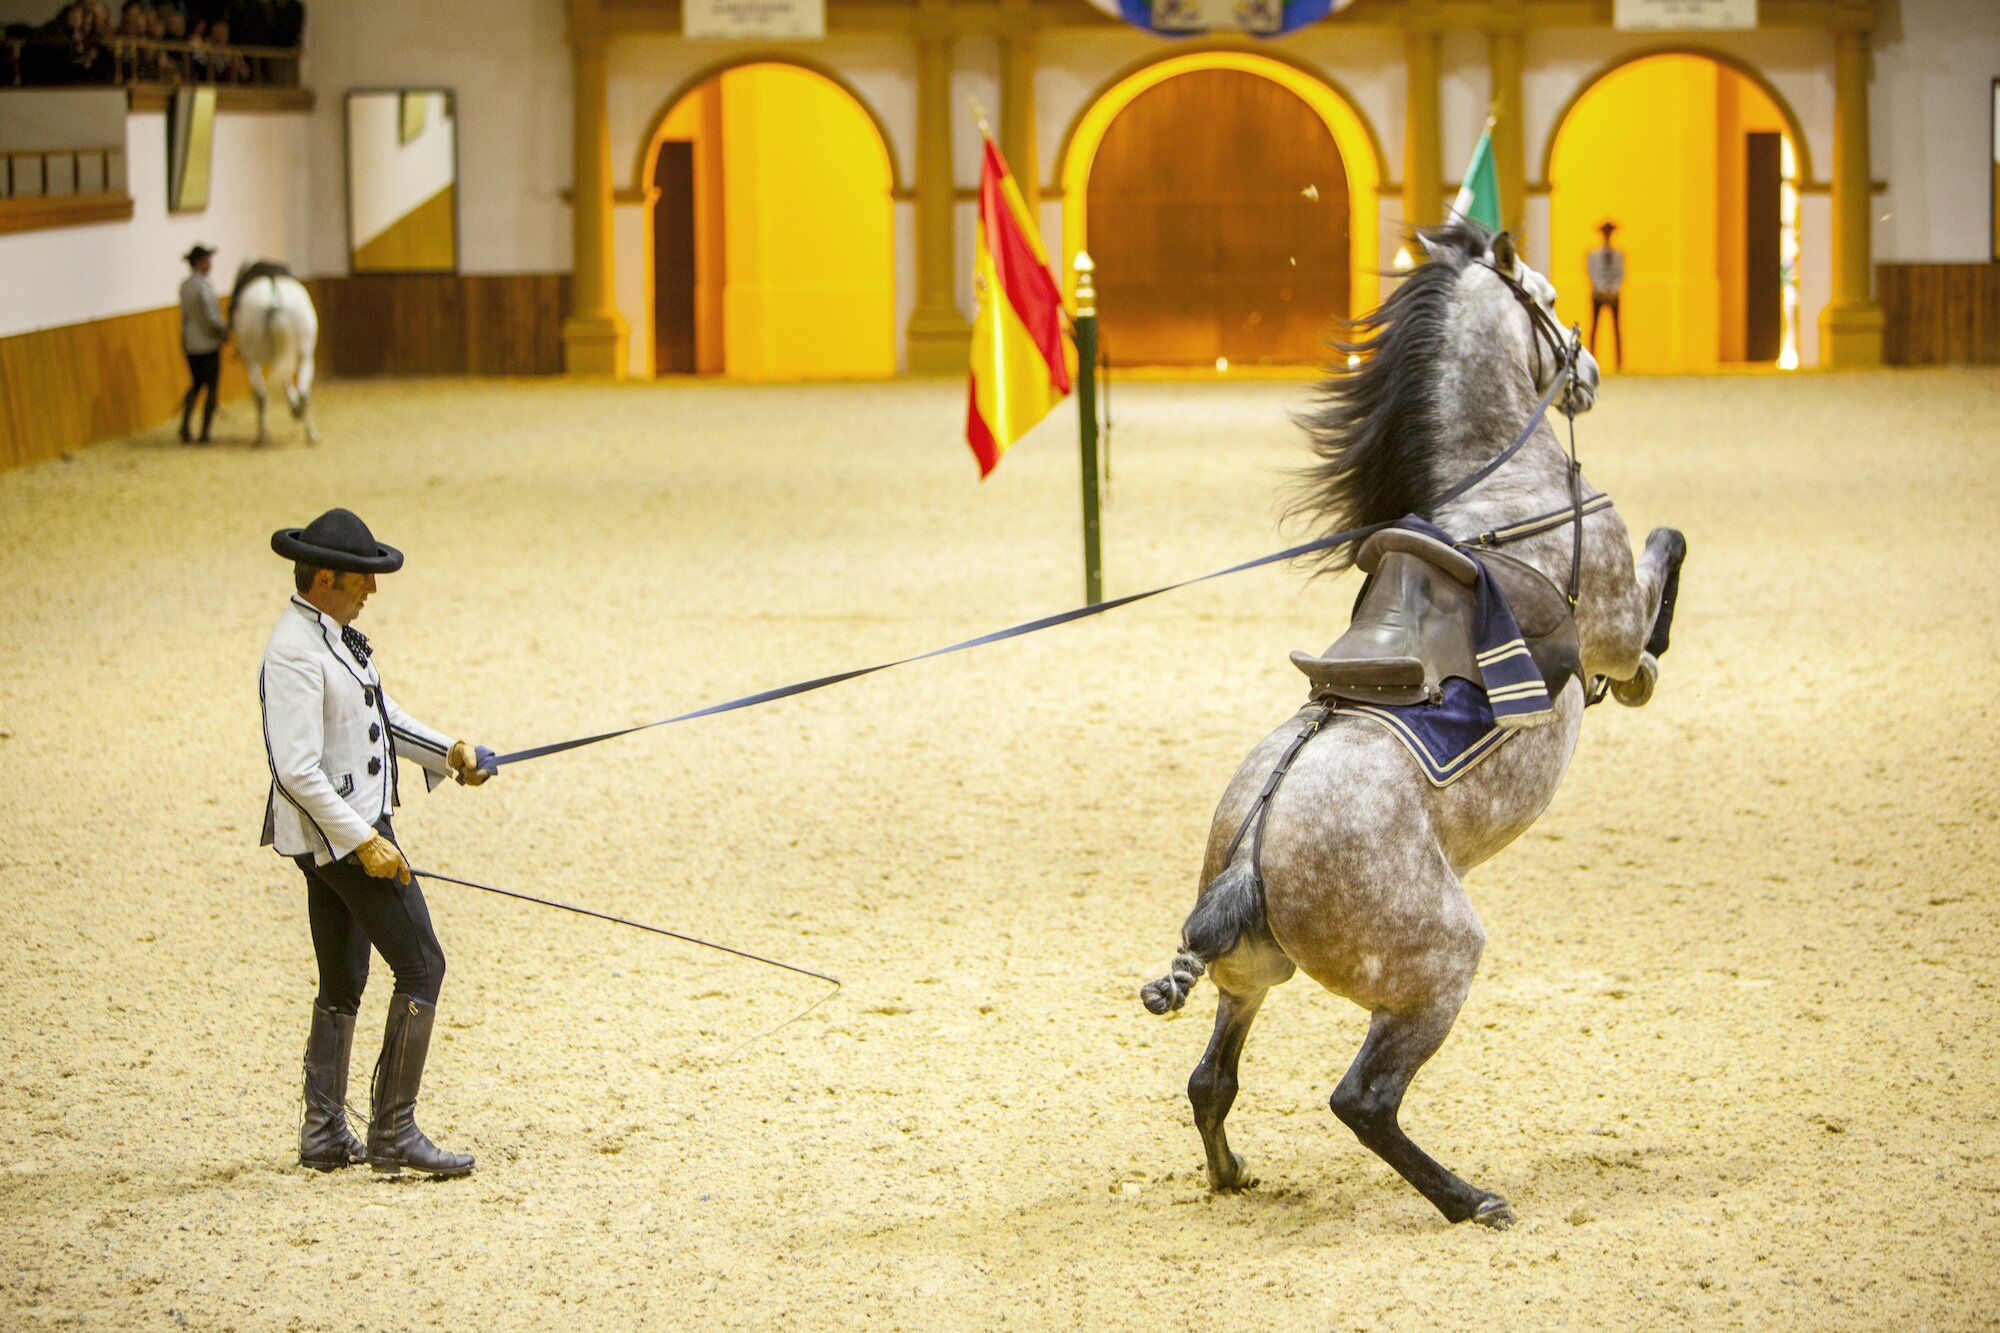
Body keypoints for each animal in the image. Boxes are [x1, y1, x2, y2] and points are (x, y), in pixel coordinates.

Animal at [229, 260, 320, 445]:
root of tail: (275, 298)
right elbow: (286, 380)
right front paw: (294, 407)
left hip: (252, 360)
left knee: (262, 398)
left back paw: (262, 436)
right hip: (305, 355)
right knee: (304, 393)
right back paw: (311, 432)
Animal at [1139, 220, 1686, 1229]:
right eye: (1550, 298)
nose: (1589, 370)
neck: (1504, 490)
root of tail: (1252, 851)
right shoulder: (1621, 619)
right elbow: (1666, 560)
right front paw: (1642, 682)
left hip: (1250, 977)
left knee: (1210, 1079)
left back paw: (1233, 1174)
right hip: (1437, 968)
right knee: (1362, 1098)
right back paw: (1472, 1199)